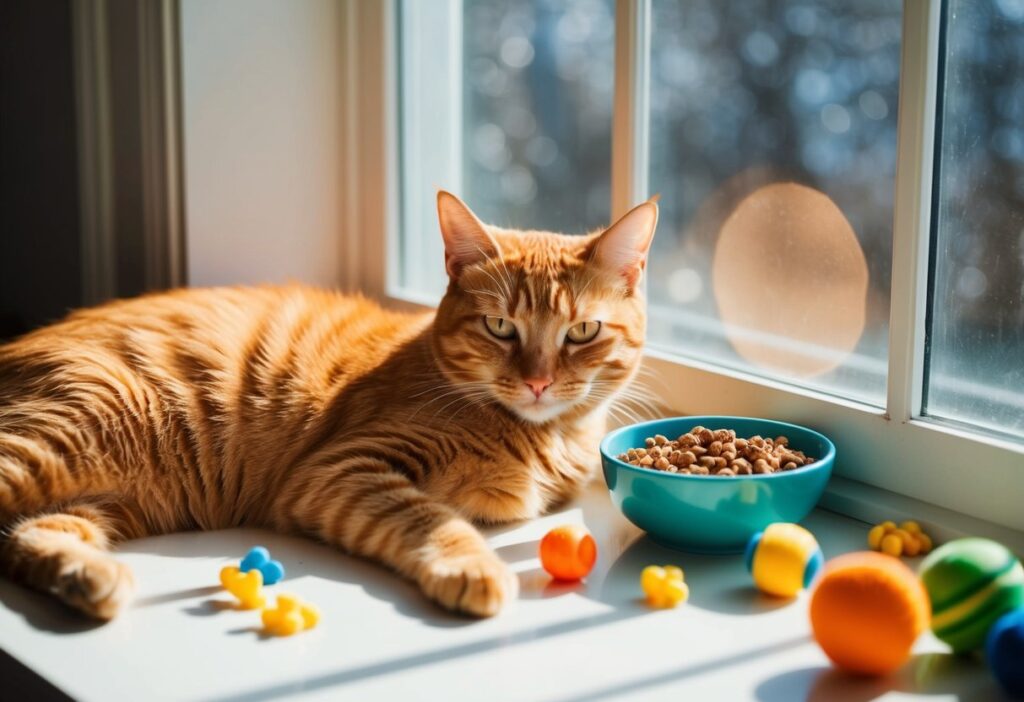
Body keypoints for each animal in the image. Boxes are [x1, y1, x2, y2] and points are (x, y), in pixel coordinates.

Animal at [0, 192, 655, 622]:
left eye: (582, 332)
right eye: (499, 327)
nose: (538, 382)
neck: (543, 437)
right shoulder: (340, 468)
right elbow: (430, 517)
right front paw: (472, 567)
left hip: (103, 500)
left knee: (24, 536)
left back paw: (87, 577)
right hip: (68, 432)